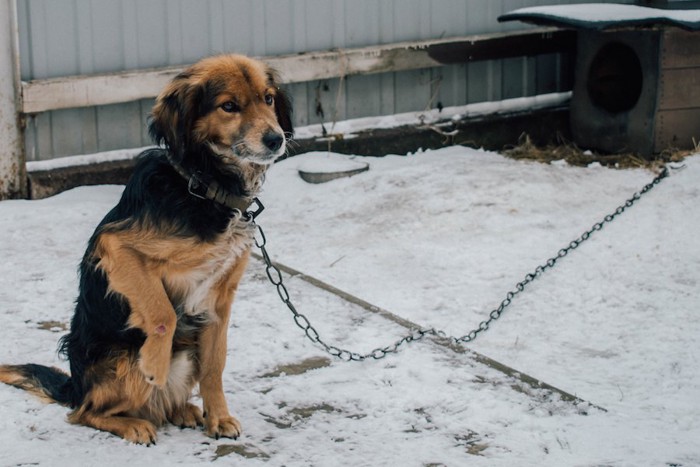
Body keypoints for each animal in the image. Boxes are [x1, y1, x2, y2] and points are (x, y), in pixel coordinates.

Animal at [0, 54, 292, 446]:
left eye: (268, 99)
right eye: (229, 106)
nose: (276, 139)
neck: (203, 186)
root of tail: (75, 386)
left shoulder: (220, 299)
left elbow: (215, 366)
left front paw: (219, 417)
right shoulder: (116, 246)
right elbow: (161, 312)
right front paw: (155, 363)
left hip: (187, 356)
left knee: (161, 403)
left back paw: (185, 410)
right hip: (121, 368)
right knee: (84, 413)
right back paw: (133, 423)